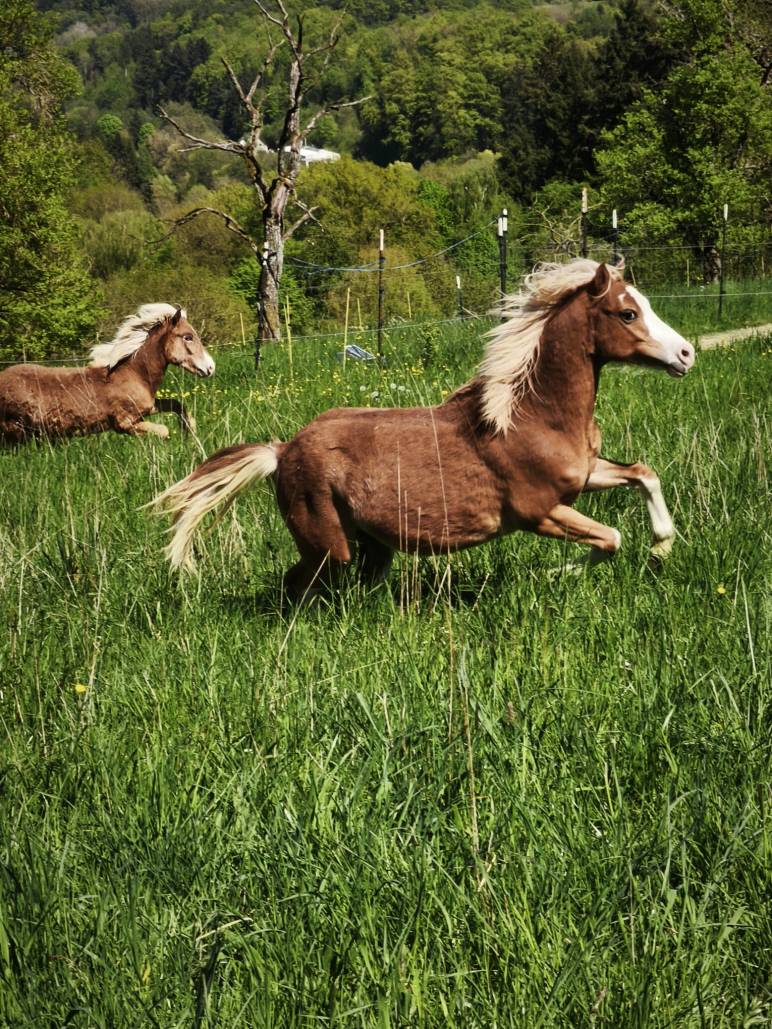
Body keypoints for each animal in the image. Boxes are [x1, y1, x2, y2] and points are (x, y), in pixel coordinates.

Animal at [0, 304, 214, 444]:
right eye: (188, 337)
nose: (210, 367)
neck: (134, 375)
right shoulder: (124, 422)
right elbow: (163, 430)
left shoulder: (147, 408)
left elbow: (177, 405)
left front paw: (190, 432)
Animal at [152, 260, 695, 600]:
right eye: (628, 312)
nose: (687, 354)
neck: (531, 416)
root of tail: (282, 451)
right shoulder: (539, 511)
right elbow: (610, 538)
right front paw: (555, 572)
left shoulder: (584, 476)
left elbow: (644, 474)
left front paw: (662, 546)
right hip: (328, 546)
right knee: (298, 585)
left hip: (370, 544)